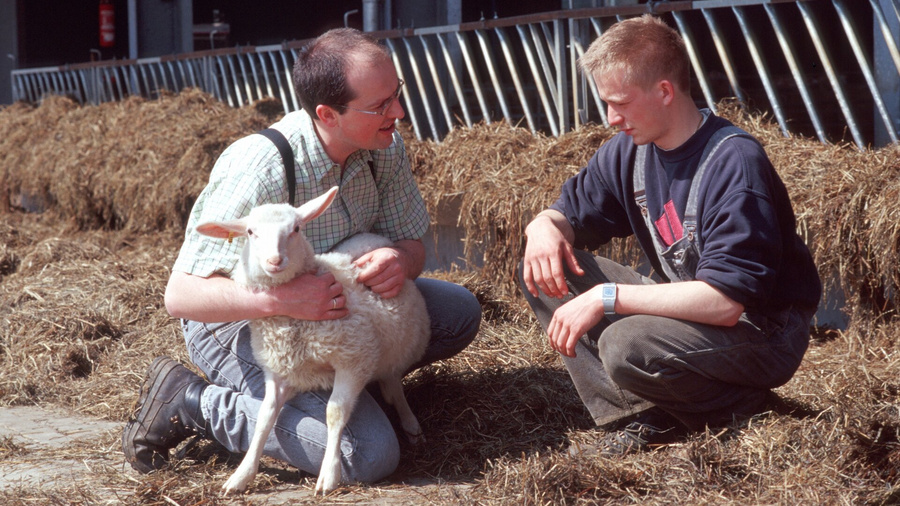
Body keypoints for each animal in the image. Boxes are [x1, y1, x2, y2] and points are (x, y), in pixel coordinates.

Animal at [194, 186, 432, 494]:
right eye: (250, 232)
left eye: (296, 229)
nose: (274, 261)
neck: (292, 323)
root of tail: (376, 239)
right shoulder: (280, 371)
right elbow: (263, 419)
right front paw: (241, 476)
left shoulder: (355, 357)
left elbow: (334, 413)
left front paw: (328, 476)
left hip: (395, 345)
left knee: (393, 381)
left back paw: (410, 423)